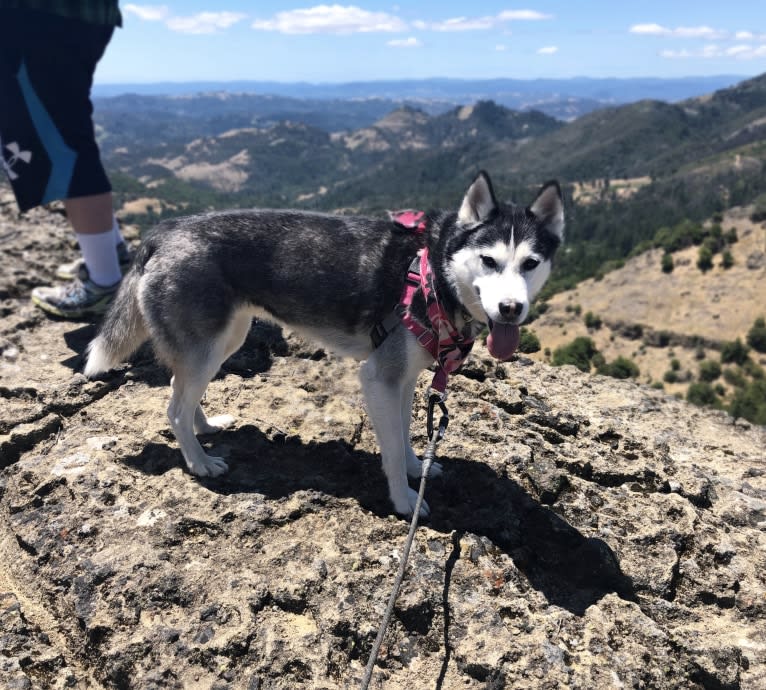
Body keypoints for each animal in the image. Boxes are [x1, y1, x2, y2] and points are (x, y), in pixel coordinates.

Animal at [85, 173, 564, 516]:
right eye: (489, 260)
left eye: (530, 263)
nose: (510, 309)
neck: (434, 273)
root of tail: (164, 232)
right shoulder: (379, 377)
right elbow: (391, 448)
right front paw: (404, 499)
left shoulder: (403, 377)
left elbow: (404, 433)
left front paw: (417, 466)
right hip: (207, 345)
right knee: (173, 409)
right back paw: (199, 463)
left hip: (223, 340)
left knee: (179, 390)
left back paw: (205, 429)